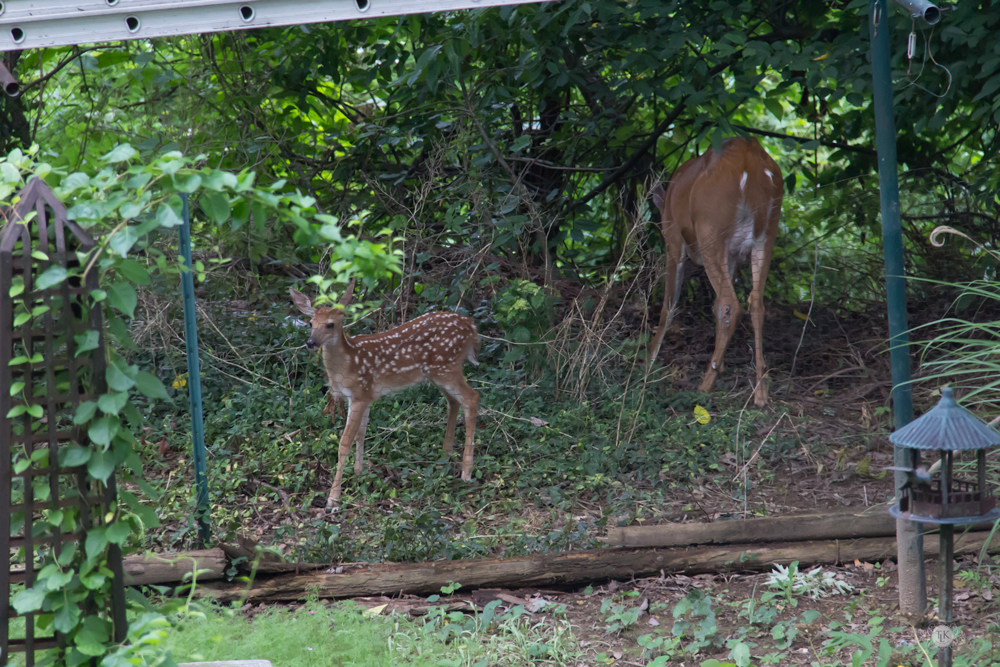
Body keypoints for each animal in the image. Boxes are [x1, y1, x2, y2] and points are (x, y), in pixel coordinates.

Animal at [290, 284, 480, 512]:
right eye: (310, 323)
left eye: (330, 324)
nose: (311, 342)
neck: (347, 363)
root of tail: (471, 327)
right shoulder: (366, 395)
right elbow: (361, 434)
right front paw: (359, 472)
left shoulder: (359, 394)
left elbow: (344, 442)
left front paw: (333, 499)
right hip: (439, 373)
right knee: (454, 401)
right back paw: (446, 454)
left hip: (447, 367)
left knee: (472, 397)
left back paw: (466, 472)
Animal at [648, 137, 780, 408]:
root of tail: (748, 158)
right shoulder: (733, 255)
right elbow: (718, 308)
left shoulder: (673, 239)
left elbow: (669, 304)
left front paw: (647, 363)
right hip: (767, 233)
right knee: (755, 303)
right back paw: (760, 395)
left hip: (709, 228)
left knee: (733, 303)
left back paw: (703, 386)